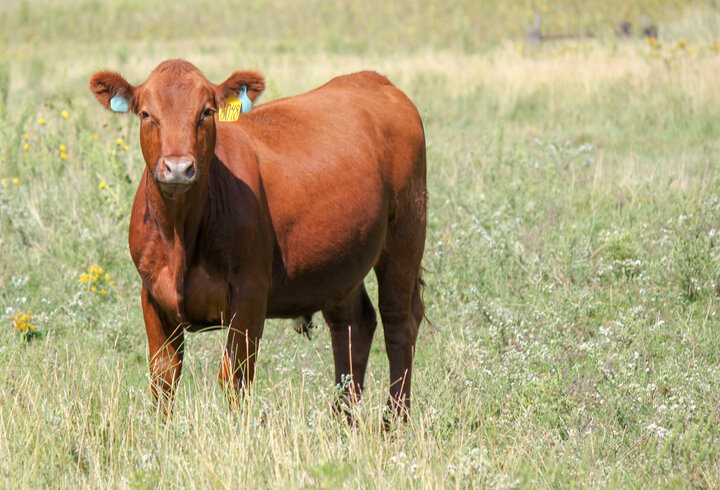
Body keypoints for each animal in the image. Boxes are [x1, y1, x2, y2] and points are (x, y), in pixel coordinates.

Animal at [90, 60, 428, 422]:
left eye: (206, 112)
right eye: (145, 114)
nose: (178, 168)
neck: (180, 235)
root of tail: (373, 79)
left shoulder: (250, 292)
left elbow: (235, 376)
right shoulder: (151, 292)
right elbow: (163, 376)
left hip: (406, 233)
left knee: (399, 321)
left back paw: (393, 422)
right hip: (341, 262)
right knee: (353, 326)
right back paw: (342, 421)